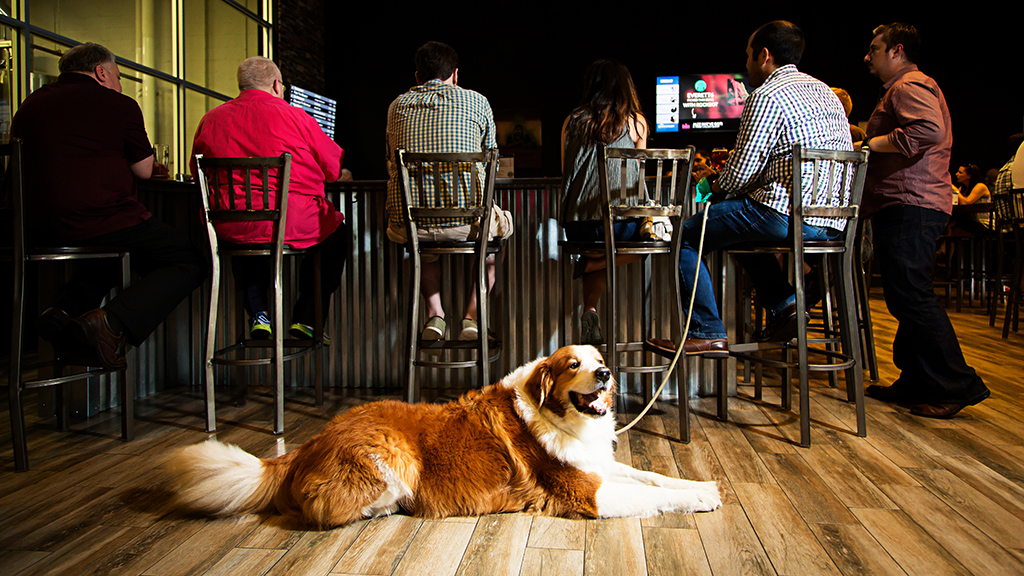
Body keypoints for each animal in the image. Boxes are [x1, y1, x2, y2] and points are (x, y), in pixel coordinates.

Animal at [167, 342, 720, 528]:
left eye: (600, 361)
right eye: (572, 366)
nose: (605, 375)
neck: (559, 419)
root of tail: (308, 444)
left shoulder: (601, 466)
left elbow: (654, 478)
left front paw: (703, 487)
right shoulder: (585, 492)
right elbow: (648, 496)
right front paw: (698, 500)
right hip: (395, 455)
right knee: (324, 510)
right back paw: (384, 508)